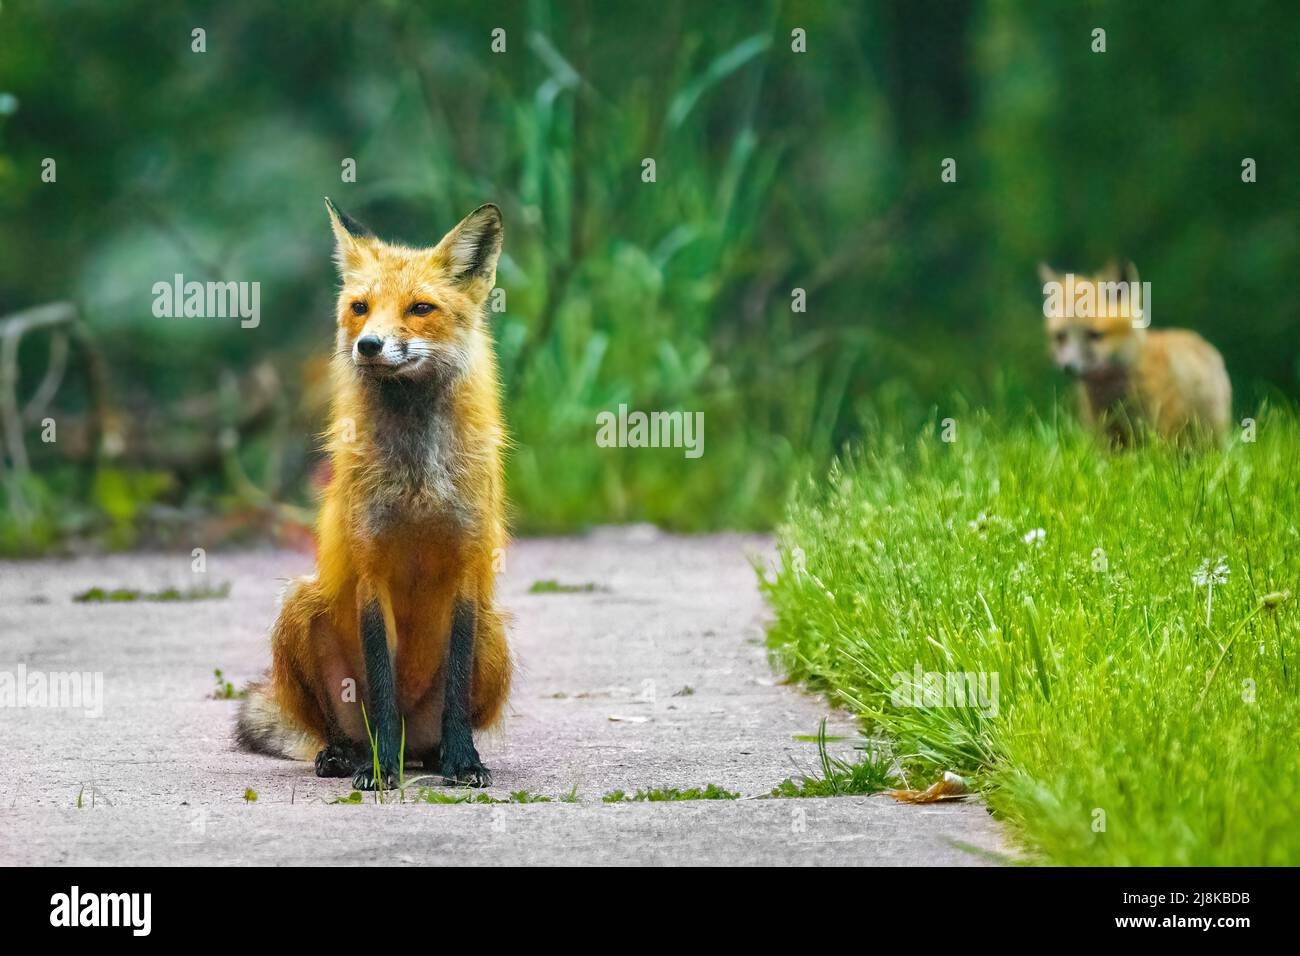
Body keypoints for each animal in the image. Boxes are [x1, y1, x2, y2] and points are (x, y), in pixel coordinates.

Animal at [235, 199, 512, 789]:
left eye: (420, 308)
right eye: (360, 308)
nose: (369, 345)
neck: (417, 482)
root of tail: (416, 742)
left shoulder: (468, 568)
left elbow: (456, 687)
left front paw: (464, 760)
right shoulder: (371, 571)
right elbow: (382, 686)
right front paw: (381, 770)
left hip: (495, 634)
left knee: (436, 730)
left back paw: (435, 755)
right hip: (299, 606)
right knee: (341, 727)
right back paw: (353, 755)